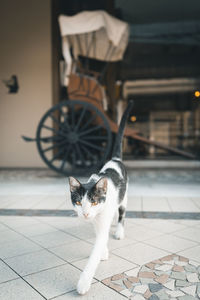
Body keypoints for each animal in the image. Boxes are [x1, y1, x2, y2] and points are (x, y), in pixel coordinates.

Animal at [68, 99, 133, 294]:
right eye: (78, 201)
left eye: (94, 202)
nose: (85, 213)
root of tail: (116, 159)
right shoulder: (96, 221)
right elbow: (100, 234)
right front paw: (104, 251)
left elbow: (94, 254)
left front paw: (83, 283)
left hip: (124, 198)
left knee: (122, 215)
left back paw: (119, 231)